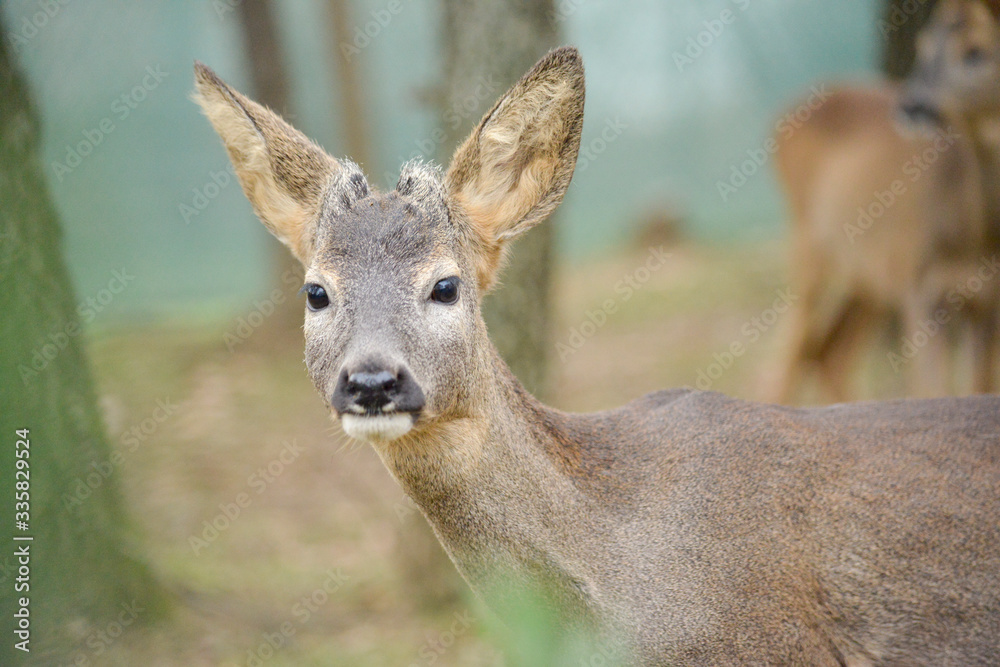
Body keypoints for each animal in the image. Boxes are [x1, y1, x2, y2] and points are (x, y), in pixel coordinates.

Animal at [772, 0, 1000, 402]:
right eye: (923, 46)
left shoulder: (988, 301)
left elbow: (979, 387)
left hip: (867, 276)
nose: (911, 104)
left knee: (829, 352)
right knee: (787, 352)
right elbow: (930, 389)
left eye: (975, 51)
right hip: (808, 242)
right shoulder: (921, 287)